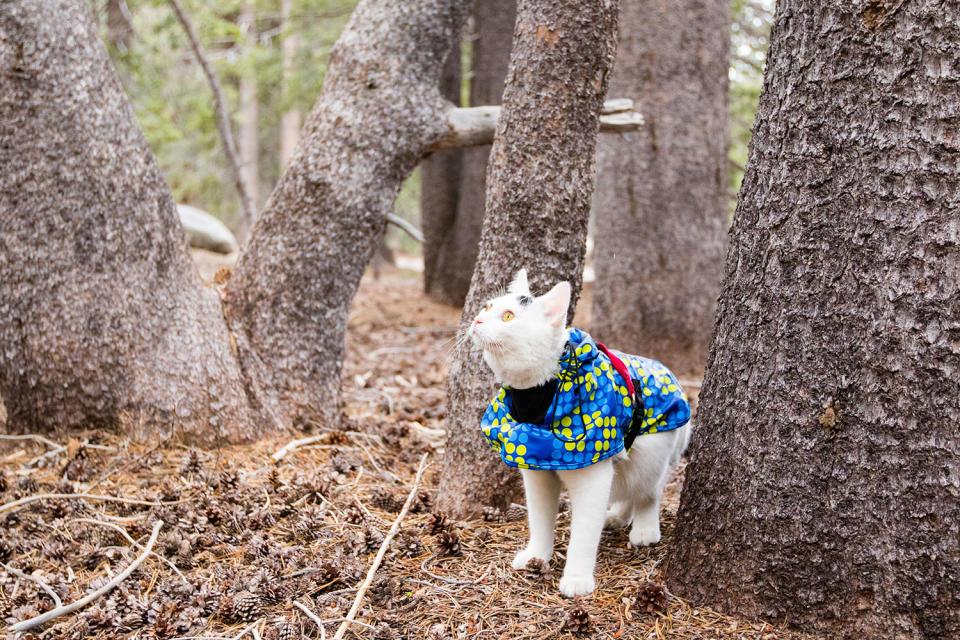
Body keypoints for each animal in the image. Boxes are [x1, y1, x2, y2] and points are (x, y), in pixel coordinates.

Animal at [466, 268, 688, 596]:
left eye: (508, 317)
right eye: (487, 307)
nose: (477, 320)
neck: (536, 394)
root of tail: (671, 375)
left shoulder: (591, 476)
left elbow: (583, 535)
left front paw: (577, 578)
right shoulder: (537, 468)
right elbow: (540, 520)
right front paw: (536, 556)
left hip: (651, 455)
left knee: (649, 492)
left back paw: (645, 529)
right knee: (627, 490)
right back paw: (618, 516)